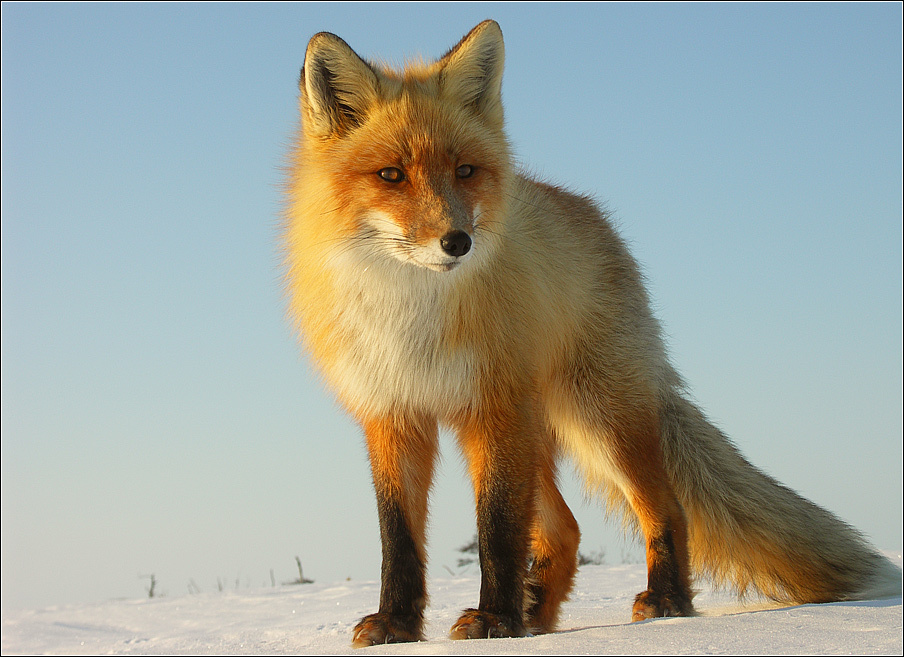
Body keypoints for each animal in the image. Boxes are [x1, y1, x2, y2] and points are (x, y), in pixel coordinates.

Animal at [282, 19, 901, 646]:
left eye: (464, 171)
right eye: (391, 175)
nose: (457, 242)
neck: (411, 317)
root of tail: (603, 227)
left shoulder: (495, 407)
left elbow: (497, 530)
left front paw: (495, 620)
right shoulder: (393, 414)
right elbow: (399, 539)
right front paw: (399, 624)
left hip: (597, 420)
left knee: (665, 506)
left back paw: (665, 601)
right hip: (535, 431)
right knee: (567, 531)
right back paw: (539, 616)